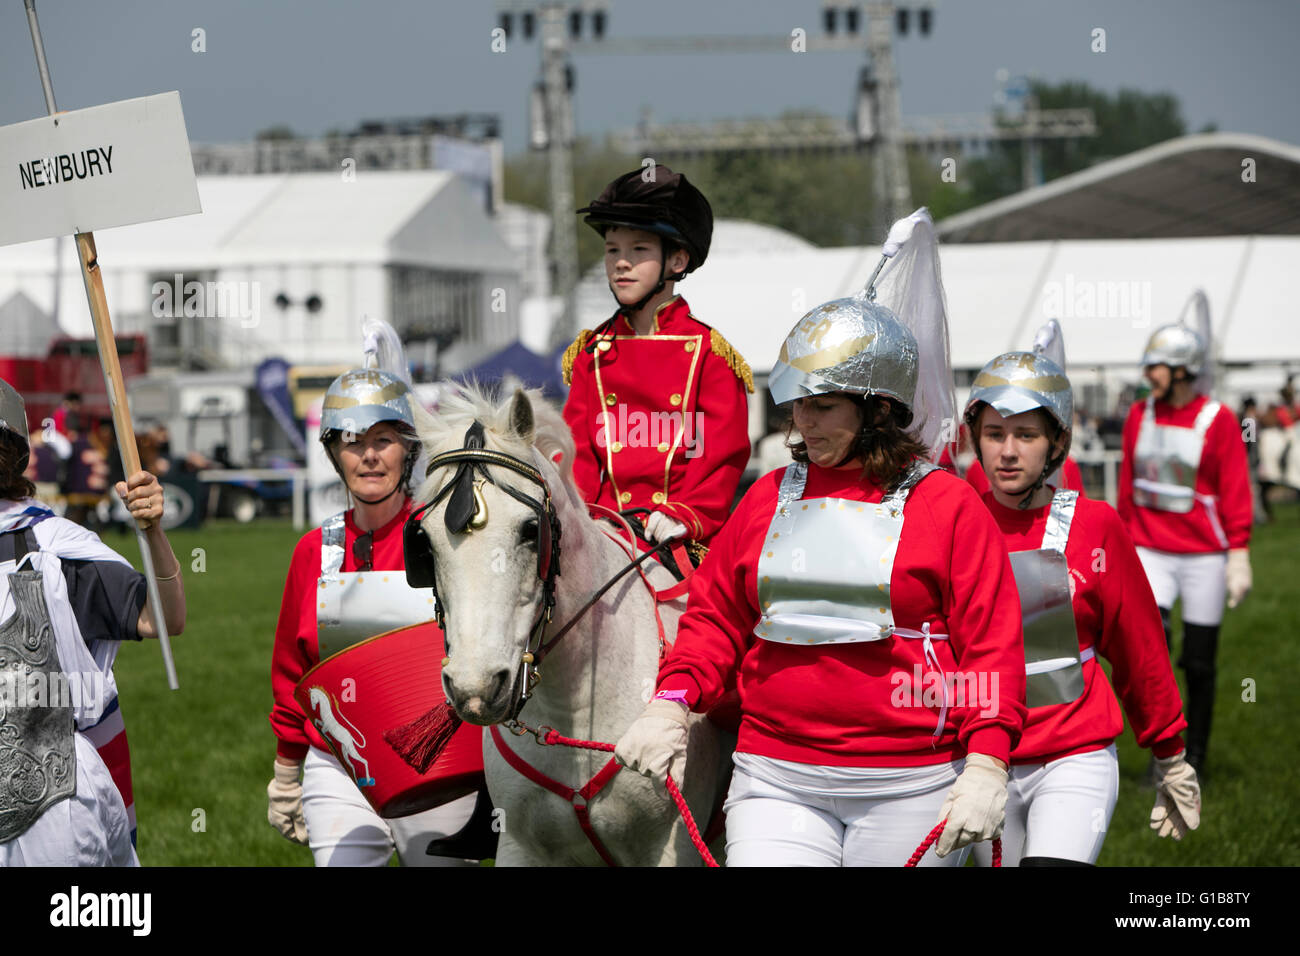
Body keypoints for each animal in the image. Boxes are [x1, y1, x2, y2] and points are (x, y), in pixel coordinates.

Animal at [408, 387, 733, 868]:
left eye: (531, 530)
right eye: (424, 543)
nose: (476, 686)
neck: (572, 710)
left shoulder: (673, 848)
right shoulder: (519, 848)